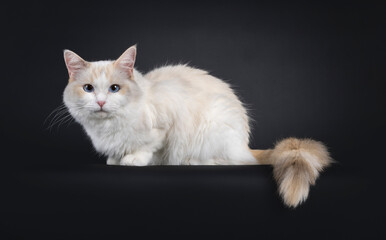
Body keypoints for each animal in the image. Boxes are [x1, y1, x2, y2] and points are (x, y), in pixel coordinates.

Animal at [62, 45, 332, 208]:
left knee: (229, 161)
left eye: (115, 88)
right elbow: (119, 152)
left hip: (213, 130)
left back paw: (193, 161)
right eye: (88, 88)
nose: (100, 102)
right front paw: (116, 159)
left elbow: (148, 149)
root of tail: (245, 145)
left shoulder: (164, 127)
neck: (109, 125)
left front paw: (133, 160)